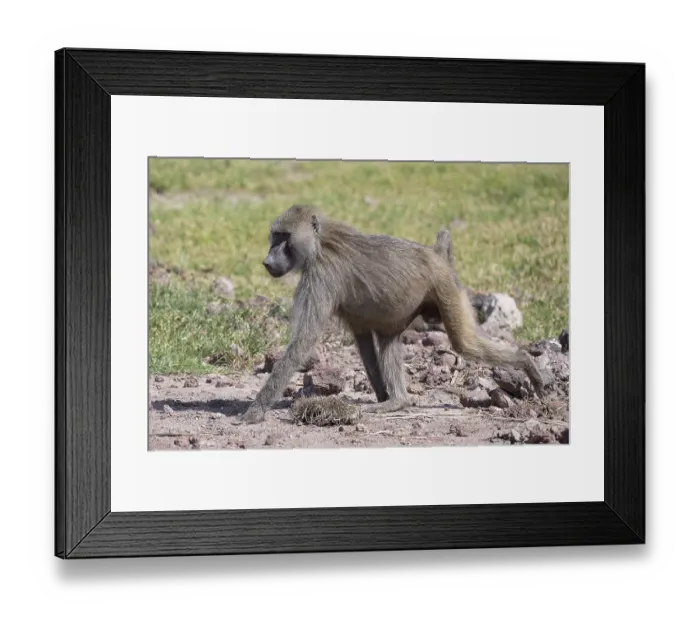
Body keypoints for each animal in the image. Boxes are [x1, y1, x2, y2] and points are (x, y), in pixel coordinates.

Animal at [238, 205, 544, 424]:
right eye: (274, 236)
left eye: (284, 238)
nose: (267, 261)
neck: (319, 244)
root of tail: (435, 254)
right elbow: (363, 340)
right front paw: (381, 393)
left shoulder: (320, 277)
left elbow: (303, 341)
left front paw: (254, 412)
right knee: (388, 340)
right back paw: (397, 400)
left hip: (447, 287)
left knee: (464, 343)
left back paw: (526, 363)